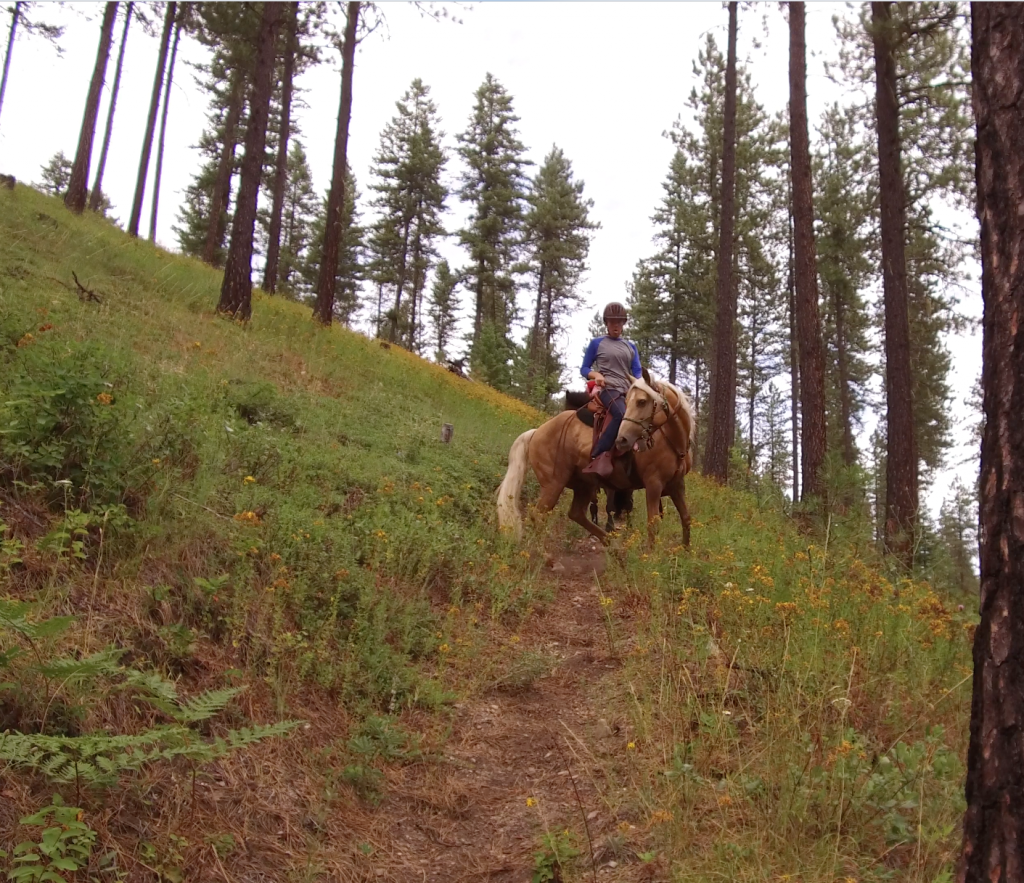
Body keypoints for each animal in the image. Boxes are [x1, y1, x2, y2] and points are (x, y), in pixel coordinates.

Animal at [496, 371, 695, 546]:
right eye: (630, 401)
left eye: (641, 401)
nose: (622, 440)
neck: (671, 439)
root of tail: (536, 432)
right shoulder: (653, 485)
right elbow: (652, 526)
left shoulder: (677, 485)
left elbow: (686, 518)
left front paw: (685, 553)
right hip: (554, 484)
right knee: (539, 515)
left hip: (584, 484)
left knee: (576, 514)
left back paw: (614, 549)